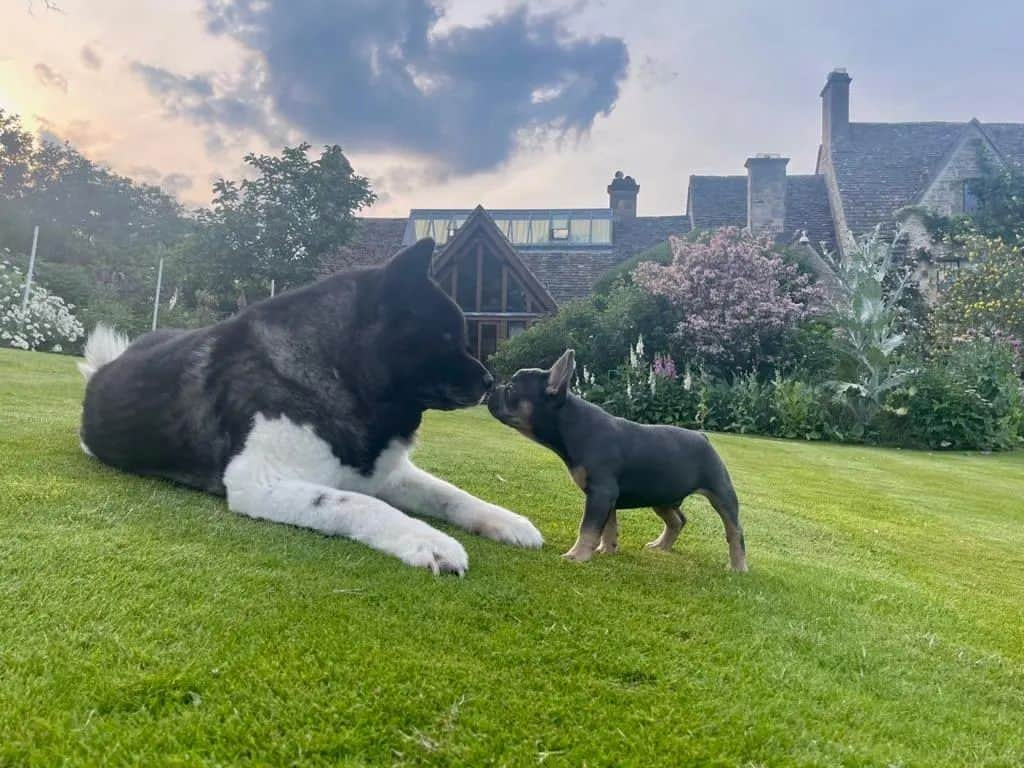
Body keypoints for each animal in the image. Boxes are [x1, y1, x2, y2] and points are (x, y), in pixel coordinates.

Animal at [79, 240, 544, 577]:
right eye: (446, 336)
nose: (490, 382)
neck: (338, 369)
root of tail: (106, 367)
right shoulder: (258, 484)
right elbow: (360, 504)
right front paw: (428, 541)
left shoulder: (386, 473)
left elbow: (451, 494)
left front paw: (507, 521)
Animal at [487, 350, 745, 573]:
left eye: (511, 389)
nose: (492, 389)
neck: (572, 424)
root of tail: (703, 437)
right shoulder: (606, 497)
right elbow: (608, 527)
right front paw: (607, 549)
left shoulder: (601, 493)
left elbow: (588, 528)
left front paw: (577, 555)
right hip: (661, 496)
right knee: (678, 520)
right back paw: (661, 546)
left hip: (720, 493)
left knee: (735, 531)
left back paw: (738, 566)